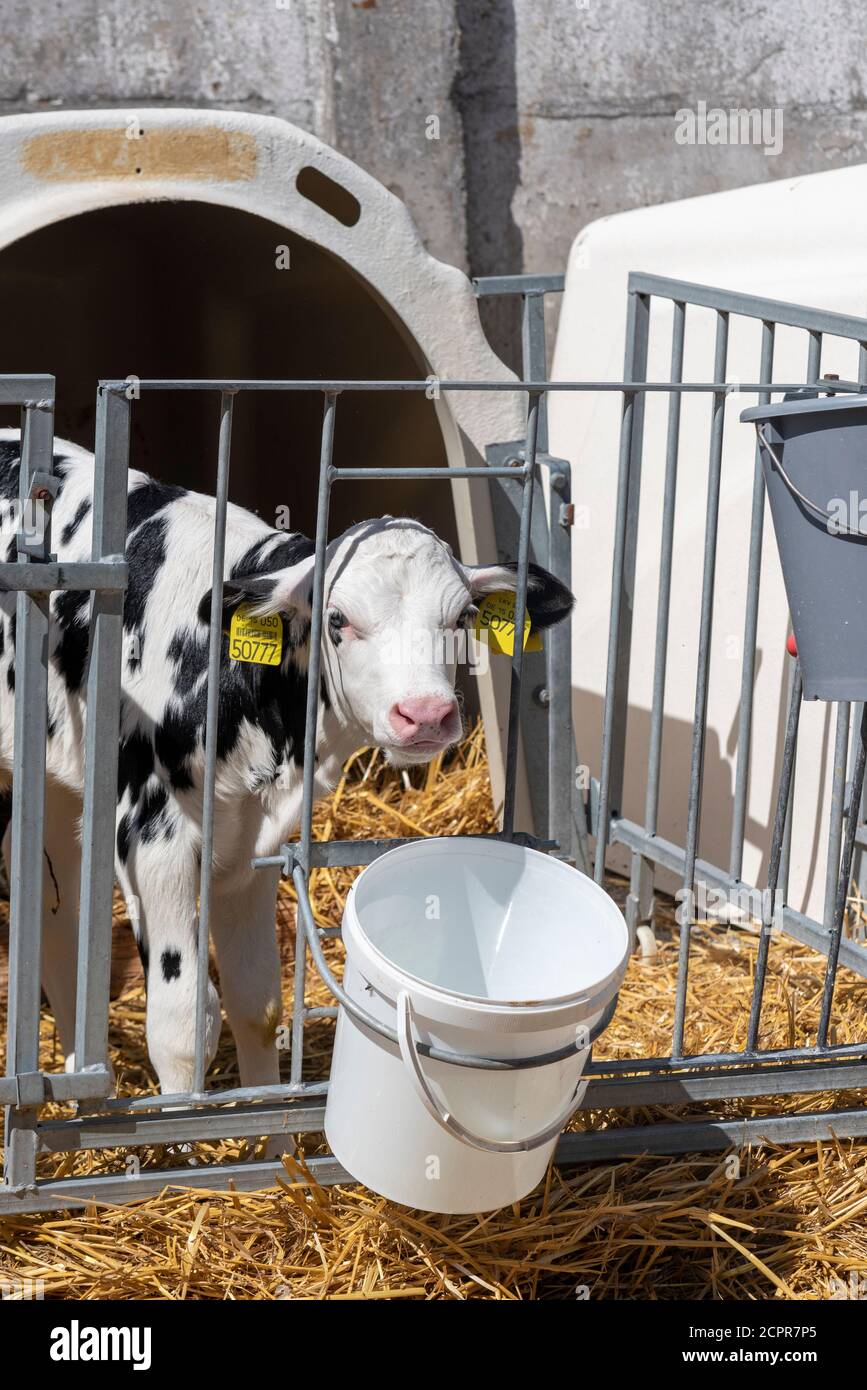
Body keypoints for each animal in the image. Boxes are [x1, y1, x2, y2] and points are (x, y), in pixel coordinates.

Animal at [0, 429, 573, 1099]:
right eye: (337, 619)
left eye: (462, 619)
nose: (426, 714)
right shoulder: (151, 837)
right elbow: (183, 1024)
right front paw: (180, 1125)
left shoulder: (248, 845)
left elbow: (257, 1005)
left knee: (51, 902)